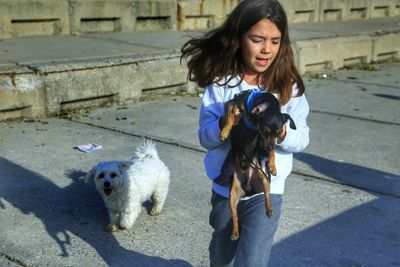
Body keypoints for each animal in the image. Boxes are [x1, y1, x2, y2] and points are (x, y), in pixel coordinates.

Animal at [217, 90, 296, 241]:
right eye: (265, 131)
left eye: (279, 133)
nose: (270, 146)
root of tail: (248, 188)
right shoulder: (232, 103)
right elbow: (230, 115)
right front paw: (224, 131)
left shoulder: (263, 142)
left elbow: (272, 152)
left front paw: (272, 165)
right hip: (232, 197)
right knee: (235, 217)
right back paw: (235, 232)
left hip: (265, 180)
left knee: (267, 197)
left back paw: (269, 210)